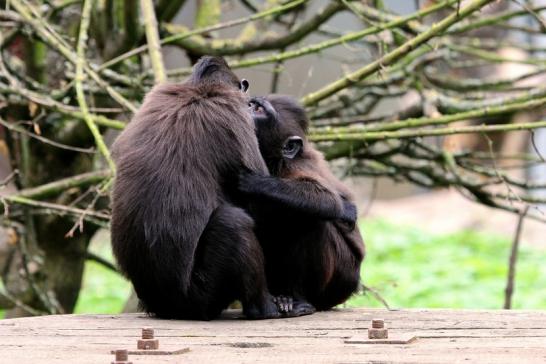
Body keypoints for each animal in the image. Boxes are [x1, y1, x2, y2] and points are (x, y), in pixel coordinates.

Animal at [109, 55, 280, 320]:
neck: (198, 89)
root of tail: (167, 305)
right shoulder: (235, 114)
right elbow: (261, 208)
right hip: (203, 295)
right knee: (233, 223)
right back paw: (263, 308)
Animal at [239, 94, 364, 312]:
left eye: (259, 110)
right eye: (252, 104)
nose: (245, 105)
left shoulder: (298, 165)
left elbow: (328, 200)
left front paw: (254, 182)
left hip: (341, 280)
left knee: (311, 220)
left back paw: (298, 298)